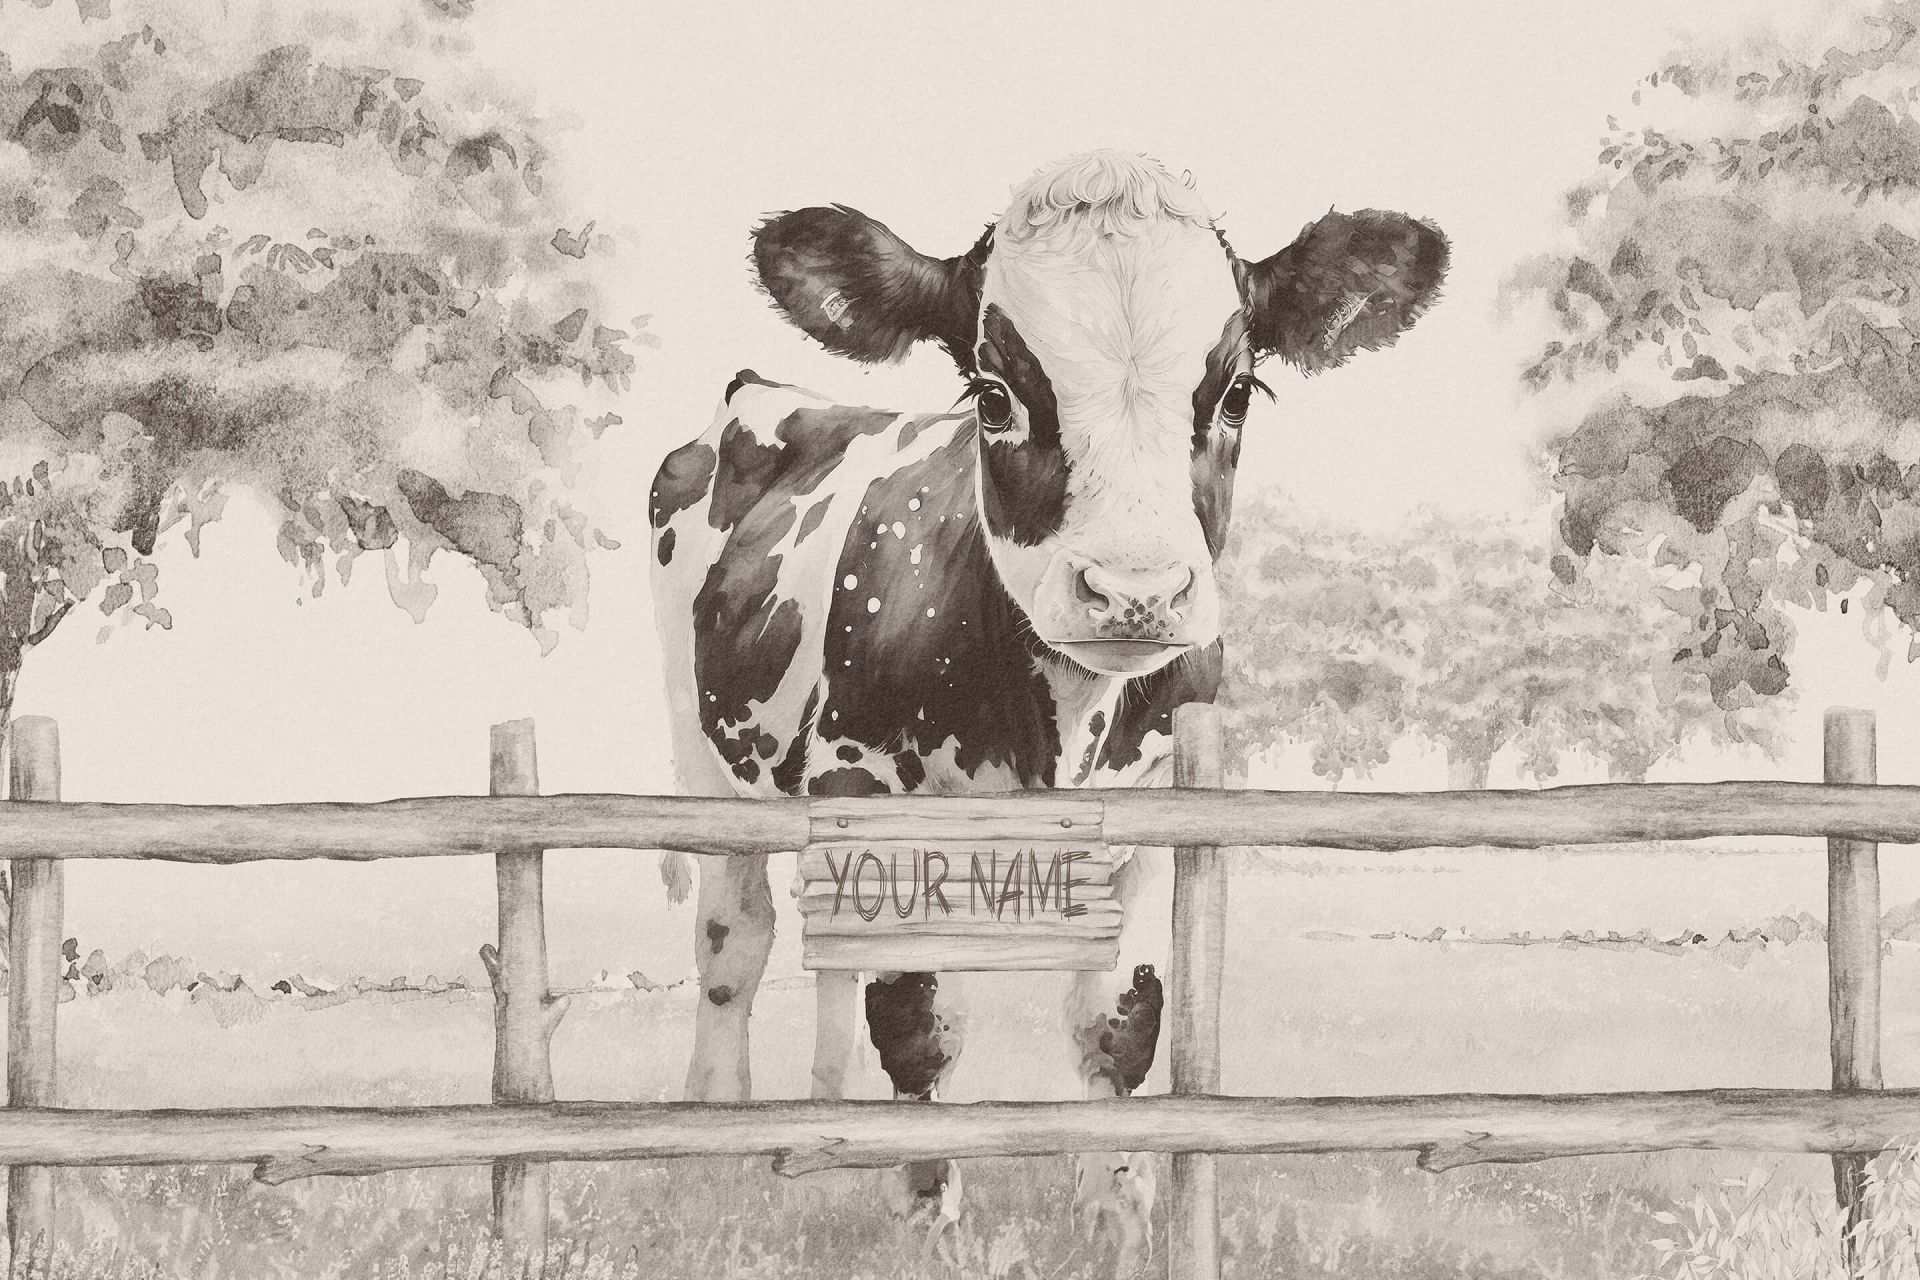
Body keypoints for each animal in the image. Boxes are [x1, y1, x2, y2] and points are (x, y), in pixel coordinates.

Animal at [650, 149, 1446, 1261]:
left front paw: (1116, 1217)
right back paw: (720, 1143)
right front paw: (929, 1219)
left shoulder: (1153, 817)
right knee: (734, 941)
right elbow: (918, 1019)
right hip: (708, 769)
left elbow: (1119, 1021)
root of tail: (766, 392)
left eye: (1238, 391)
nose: (1135, 589)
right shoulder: (875, 800)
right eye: (994, 397)